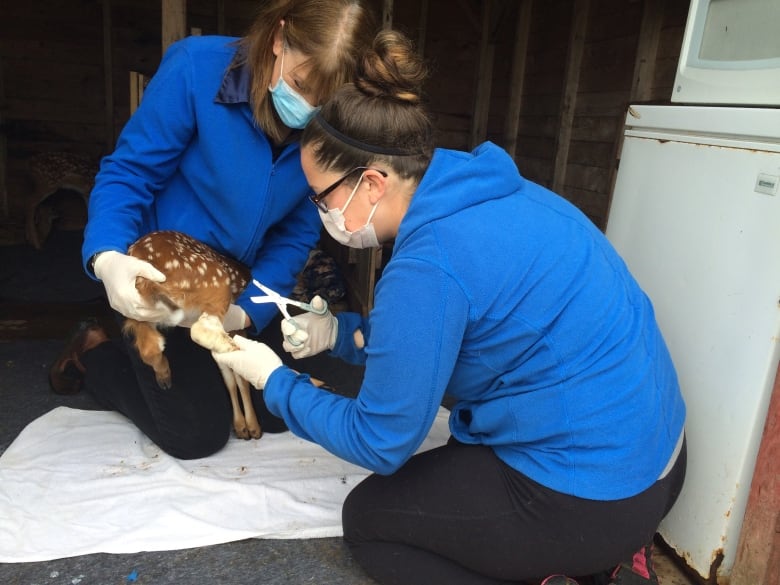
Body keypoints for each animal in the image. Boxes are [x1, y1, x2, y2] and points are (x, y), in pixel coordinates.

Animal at [123, 230, 262, 440]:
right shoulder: (238, 329)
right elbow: (238, 379)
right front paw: (252, 428)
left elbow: (229, 378)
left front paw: (241, 427)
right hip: (214, 280)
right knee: (199, 330)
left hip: (140, 310)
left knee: (148, 348)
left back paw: (164, 377)